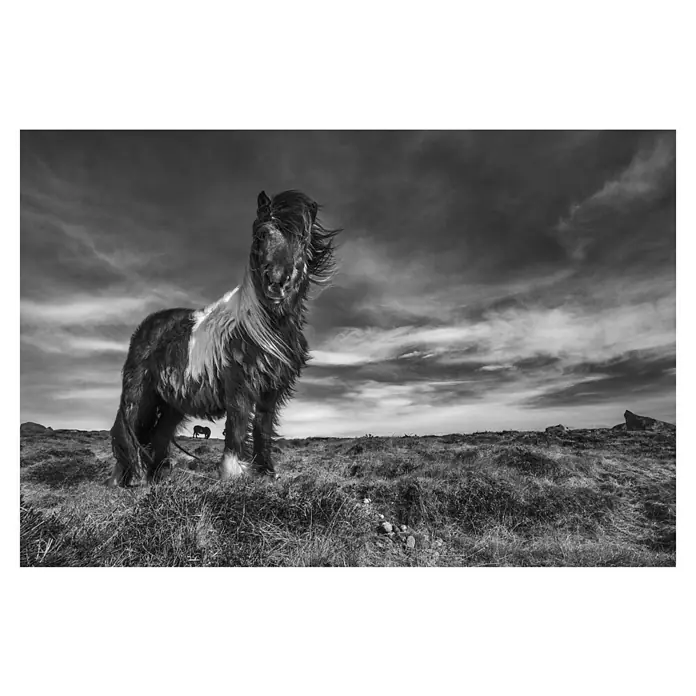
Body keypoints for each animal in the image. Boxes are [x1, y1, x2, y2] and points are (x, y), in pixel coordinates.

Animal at [107, 189, 340, 487]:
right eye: (261, 234)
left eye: (302, 237)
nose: (277, 282)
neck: (264, 327)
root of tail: (147, 327)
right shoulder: (239, 385)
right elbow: (238, 425)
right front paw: (232, 474)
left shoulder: (271, 390)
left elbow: (263, 428)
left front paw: (266, 472)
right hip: (140, 393)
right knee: (128, 429)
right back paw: (125, 480)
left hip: (173, 403)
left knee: (159, 435)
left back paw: (157, 479)